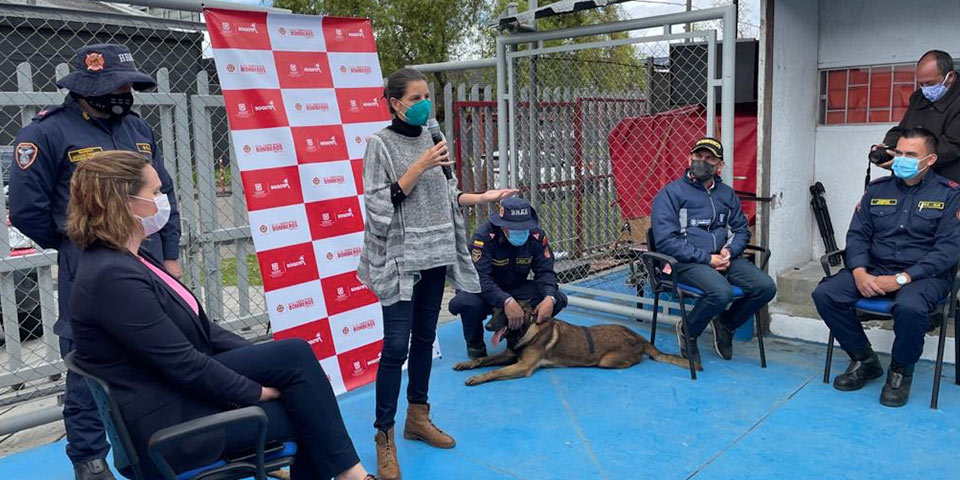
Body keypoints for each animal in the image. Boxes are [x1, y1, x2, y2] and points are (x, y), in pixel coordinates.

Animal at [454, 300, 692, 386]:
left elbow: (494, 371)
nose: (487, 326)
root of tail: (640, 338)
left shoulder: (523, 366)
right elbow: (484, 360)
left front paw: (478, 378)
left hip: (607, 361)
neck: (527, 327)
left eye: (504, 314)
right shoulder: (510, 356)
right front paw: (468, 365)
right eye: (493, 311)